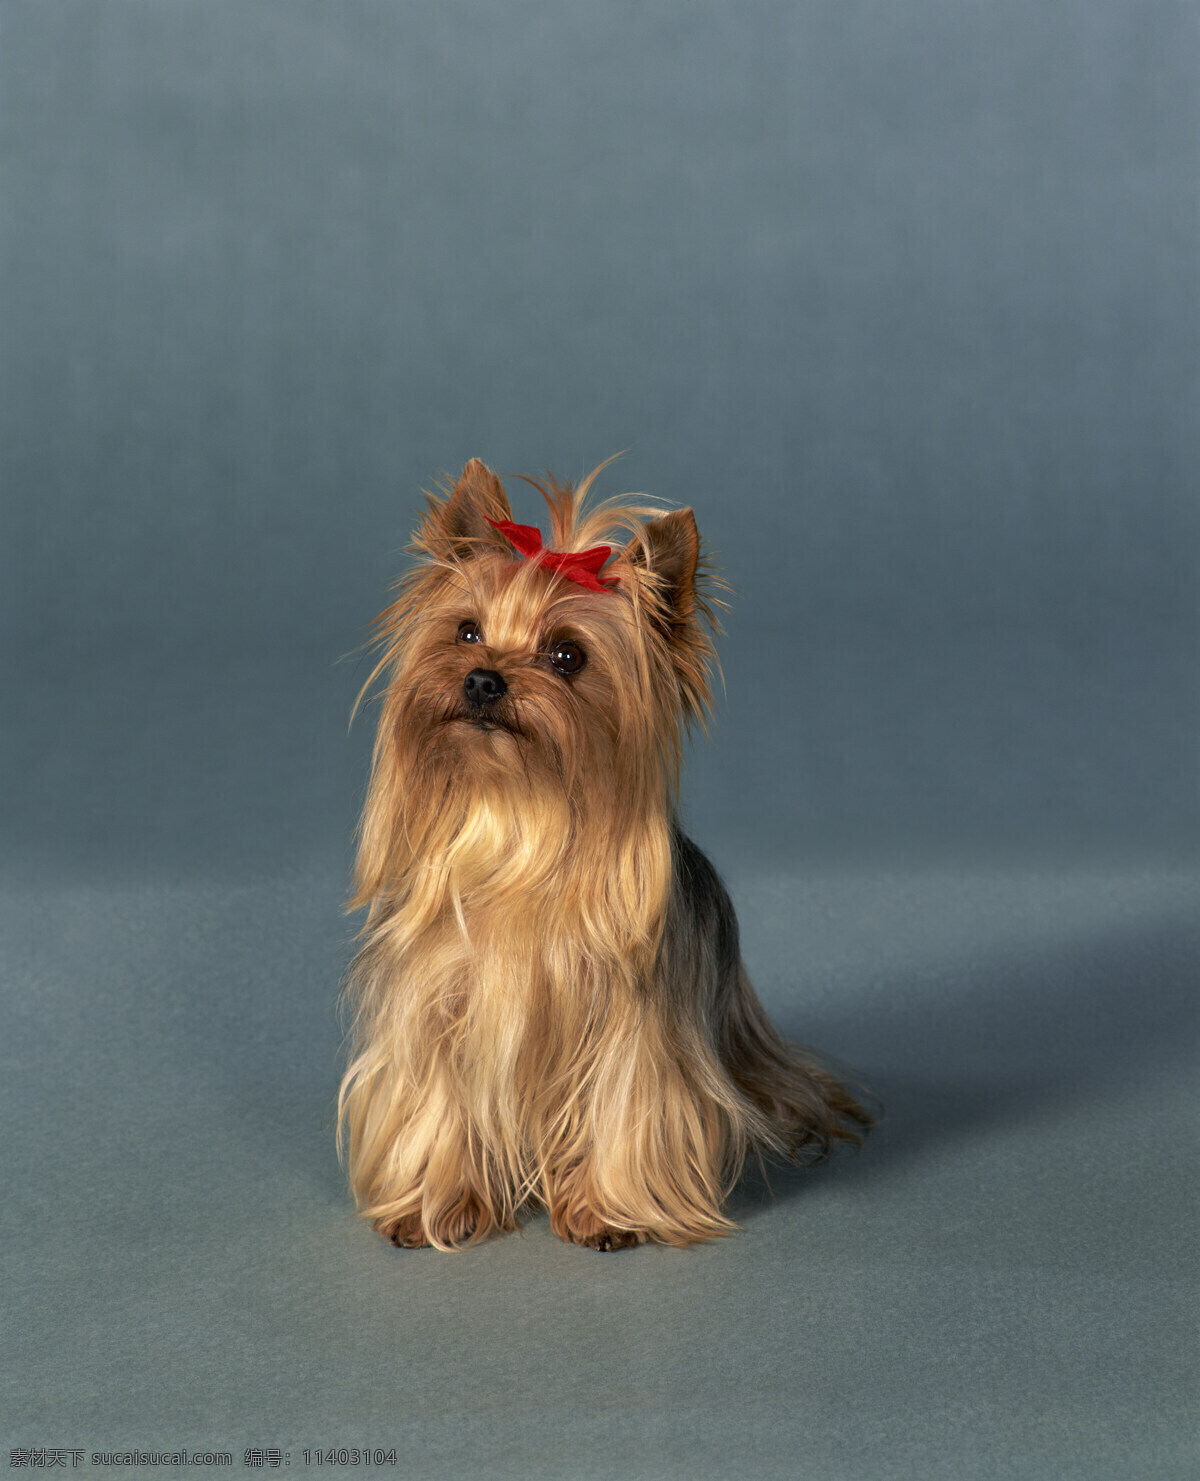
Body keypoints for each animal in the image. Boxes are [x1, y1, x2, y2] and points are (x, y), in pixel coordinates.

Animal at [331, 459, 865, 1249]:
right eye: (466, 629)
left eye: (567, 655)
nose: (482, 678)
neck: (520, 812)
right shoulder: (437, 1004)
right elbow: (438, 1102)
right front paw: (439, 1203)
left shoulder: (631, 1023)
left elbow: (627, 1102)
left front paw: (607, 1212)